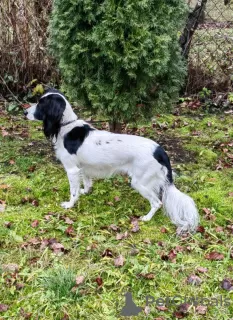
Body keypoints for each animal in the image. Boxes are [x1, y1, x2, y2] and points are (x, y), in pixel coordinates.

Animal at [23, 89, 199, 234]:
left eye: (40, 104)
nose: (24, 112)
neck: (66, 126)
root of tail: (159, 150)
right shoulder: (83, 168)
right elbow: (86, 183)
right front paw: (84, 192)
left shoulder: (72, 169)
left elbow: (73, 191)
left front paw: (70, 204)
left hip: (139, 182)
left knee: (157, 203)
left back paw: (147, 218)